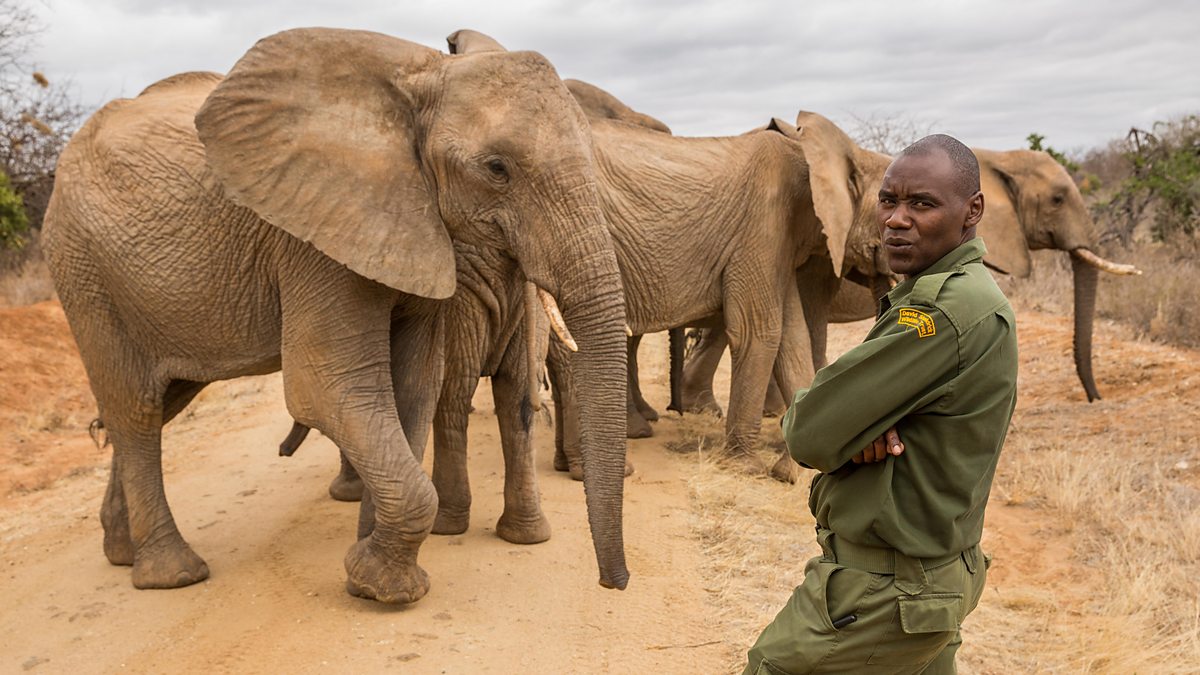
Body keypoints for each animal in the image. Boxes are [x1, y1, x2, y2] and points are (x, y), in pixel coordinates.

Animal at [41, 28, 633, 600]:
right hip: (84, 270)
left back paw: (122, 553)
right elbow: (327, 389)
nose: (615, 582)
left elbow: (414, 385)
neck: (422, 79)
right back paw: (172, 574)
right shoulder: (315, 233)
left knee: (161, 400)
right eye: (497, 169)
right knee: (135, 409)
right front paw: (386, 588)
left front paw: (368, 564)